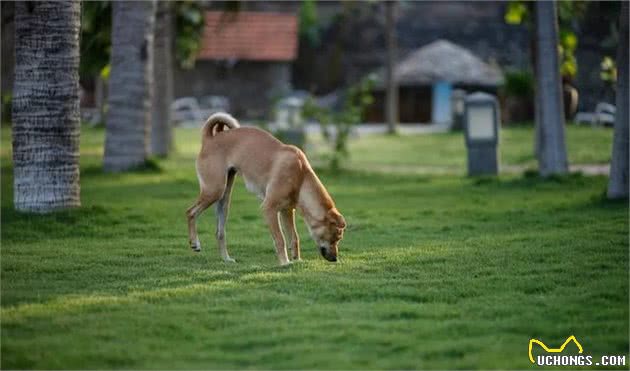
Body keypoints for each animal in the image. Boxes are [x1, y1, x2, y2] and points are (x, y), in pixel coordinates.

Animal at [185, 112, 348, 266]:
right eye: (336, 237)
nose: (335, 258)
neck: (300, 176)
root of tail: (209, 139)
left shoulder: (287, 211)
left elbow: (294, 238)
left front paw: (297, 260)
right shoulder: (269, 209)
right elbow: (280, 239)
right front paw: (285, 263)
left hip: (224, 200)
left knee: (220, 232)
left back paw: (226, 258)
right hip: (214, 190)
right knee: (191, 212)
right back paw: (195, 242)